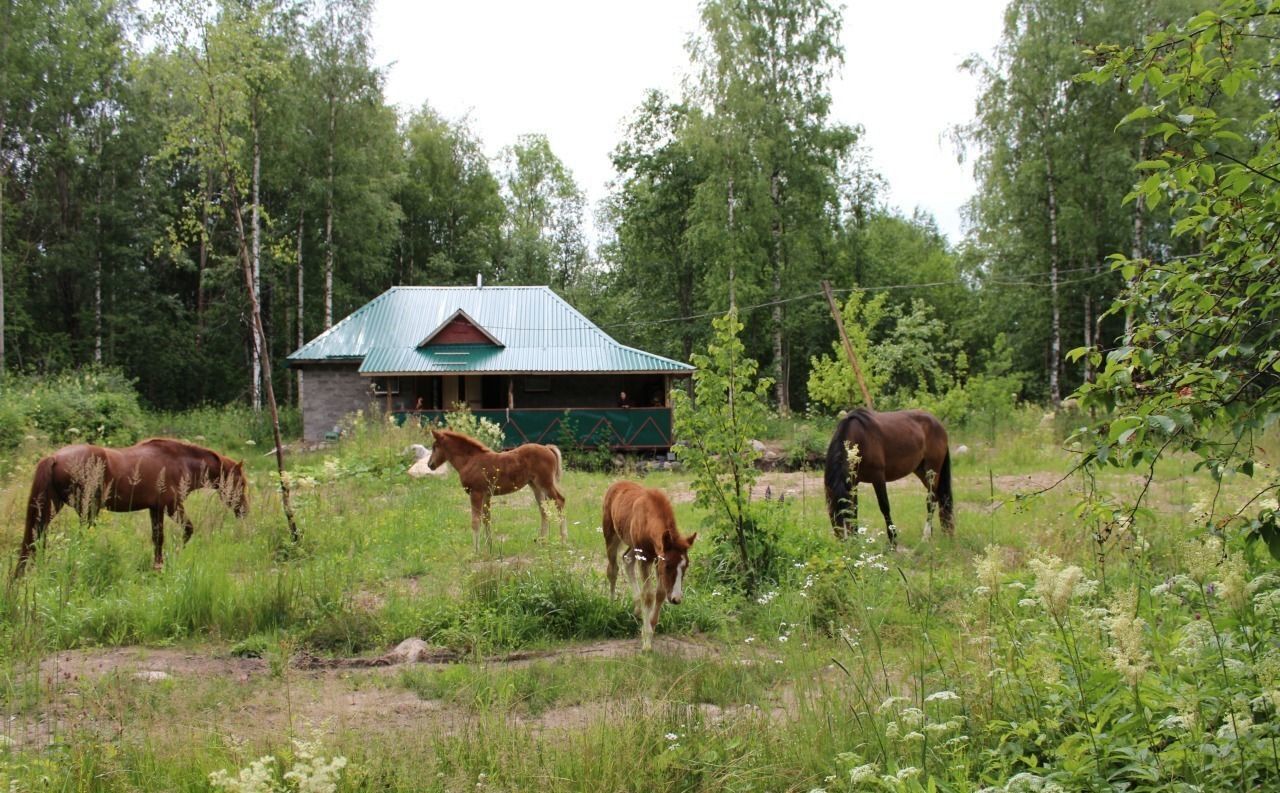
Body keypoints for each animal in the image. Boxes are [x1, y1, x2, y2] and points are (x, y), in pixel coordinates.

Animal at [16, 439, 248, 575]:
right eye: (241, 483)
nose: (245, 511)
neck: (180, 462)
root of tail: (54, 457)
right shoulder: (172, 506)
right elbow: (187, 530)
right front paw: (175, 556)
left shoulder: (156, 509)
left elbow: (158, 538)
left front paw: (158, 566)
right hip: (86, 510)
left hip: (51, 507)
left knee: (38, 536)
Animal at [427, 427, 568, 552]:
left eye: (435, 447)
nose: (430, 465)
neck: (470, 460)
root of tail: (548, 448)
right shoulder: (486, 494)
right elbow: (486, 519)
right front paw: (489, 546)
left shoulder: (476, 493)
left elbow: (475, 521)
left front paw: (476, 551)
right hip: (536, 486)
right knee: (544, 511)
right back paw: (542, 542)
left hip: (546, 483)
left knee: (560, 501)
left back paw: (563, 541)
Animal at [601, 480, 701, 654]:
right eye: (668, 566)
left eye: (686, 566)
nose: (676, 599)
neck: (649, 518)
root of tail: (615, 484)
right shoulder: (647, 559)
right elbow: (648, 595)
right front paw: (646, 641)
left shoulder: (656, 559)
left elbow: (660, 593)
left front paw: (652, 626)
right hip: (611, 535)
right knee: (612, 570)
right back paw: (612, 604)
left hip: (633, 545)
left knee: (627, 560)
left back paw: (637, 609)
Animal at [824, 409, 957, 544]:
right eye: (834, 515)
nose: (847, 542)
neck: (859, 437)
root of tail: (937, 423)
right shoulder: (853, 481)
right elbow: (856, 507)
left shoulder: (878, 477)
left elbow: (884, 506)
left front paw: (892, 539)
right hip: (921, 471)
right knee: (939, 497)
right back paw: (939, 533)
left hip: (932, 470)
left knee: (931, 499)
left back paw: (925, 537)